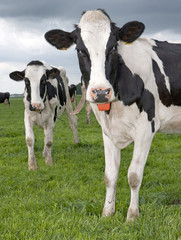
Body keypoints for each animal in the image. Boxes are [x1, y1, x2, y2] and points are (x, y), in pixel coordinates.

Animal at [44, 9, 181, 221]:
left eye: (113, 48)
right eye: (80, 50)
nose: (100, 92)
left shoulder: (146, 128)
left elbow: (134, 175)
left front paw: (132, 216)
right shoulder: (107, 131)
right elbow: (110, 175)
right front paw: (107, 211)